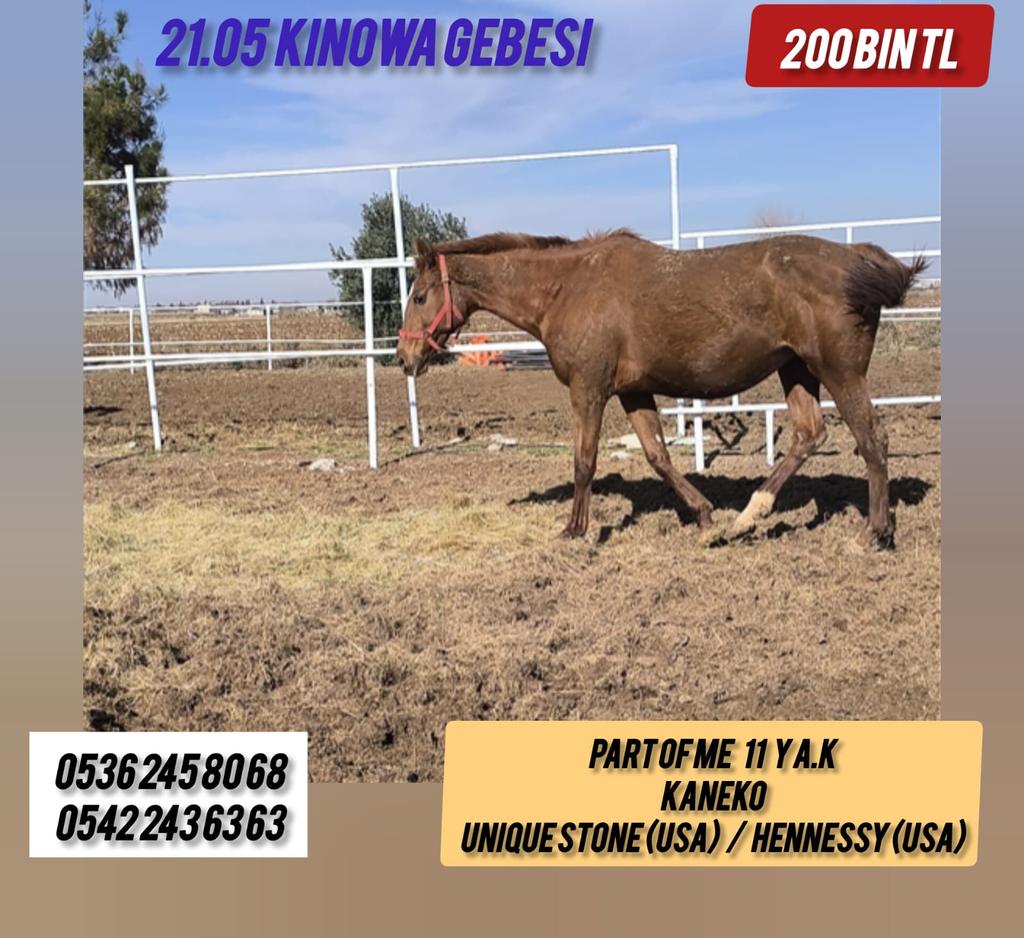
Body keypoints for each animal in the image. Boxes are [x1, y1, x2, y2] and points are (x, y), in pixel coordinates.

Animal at [396, 230, 927, 549]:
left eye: (419, 296)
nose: (404, 357)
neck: (568, 288)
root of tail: (858, 257)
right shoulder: (633, 392)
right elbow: (658, 456)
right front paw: (705, 517)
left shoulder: (588, 389)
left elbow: (584, 461)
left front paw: (574, 530)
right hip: (797, 370)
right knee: (809, 435)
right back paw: (746, 518)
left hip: (839, 372)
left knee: (871, 440)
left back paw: (874, 532)